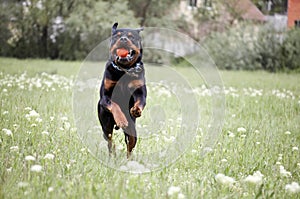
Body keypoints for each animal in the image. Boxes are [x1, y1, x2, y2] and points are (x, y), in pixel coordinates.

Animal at [98, 22, 146, 158]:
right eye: (117, 36)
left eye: (131, 36)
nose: (123, 39)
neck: (123, 70)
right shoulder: (105, 97)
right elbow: (114, 104)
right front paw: (121, 119)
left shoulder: (140, 91)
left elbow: (140, 100)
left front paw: (136, 110)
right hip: (106, 125)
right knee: (110, 141)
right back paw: (112, 154)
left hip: (132, 129)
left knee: (130, 144)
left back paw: (128, 160)